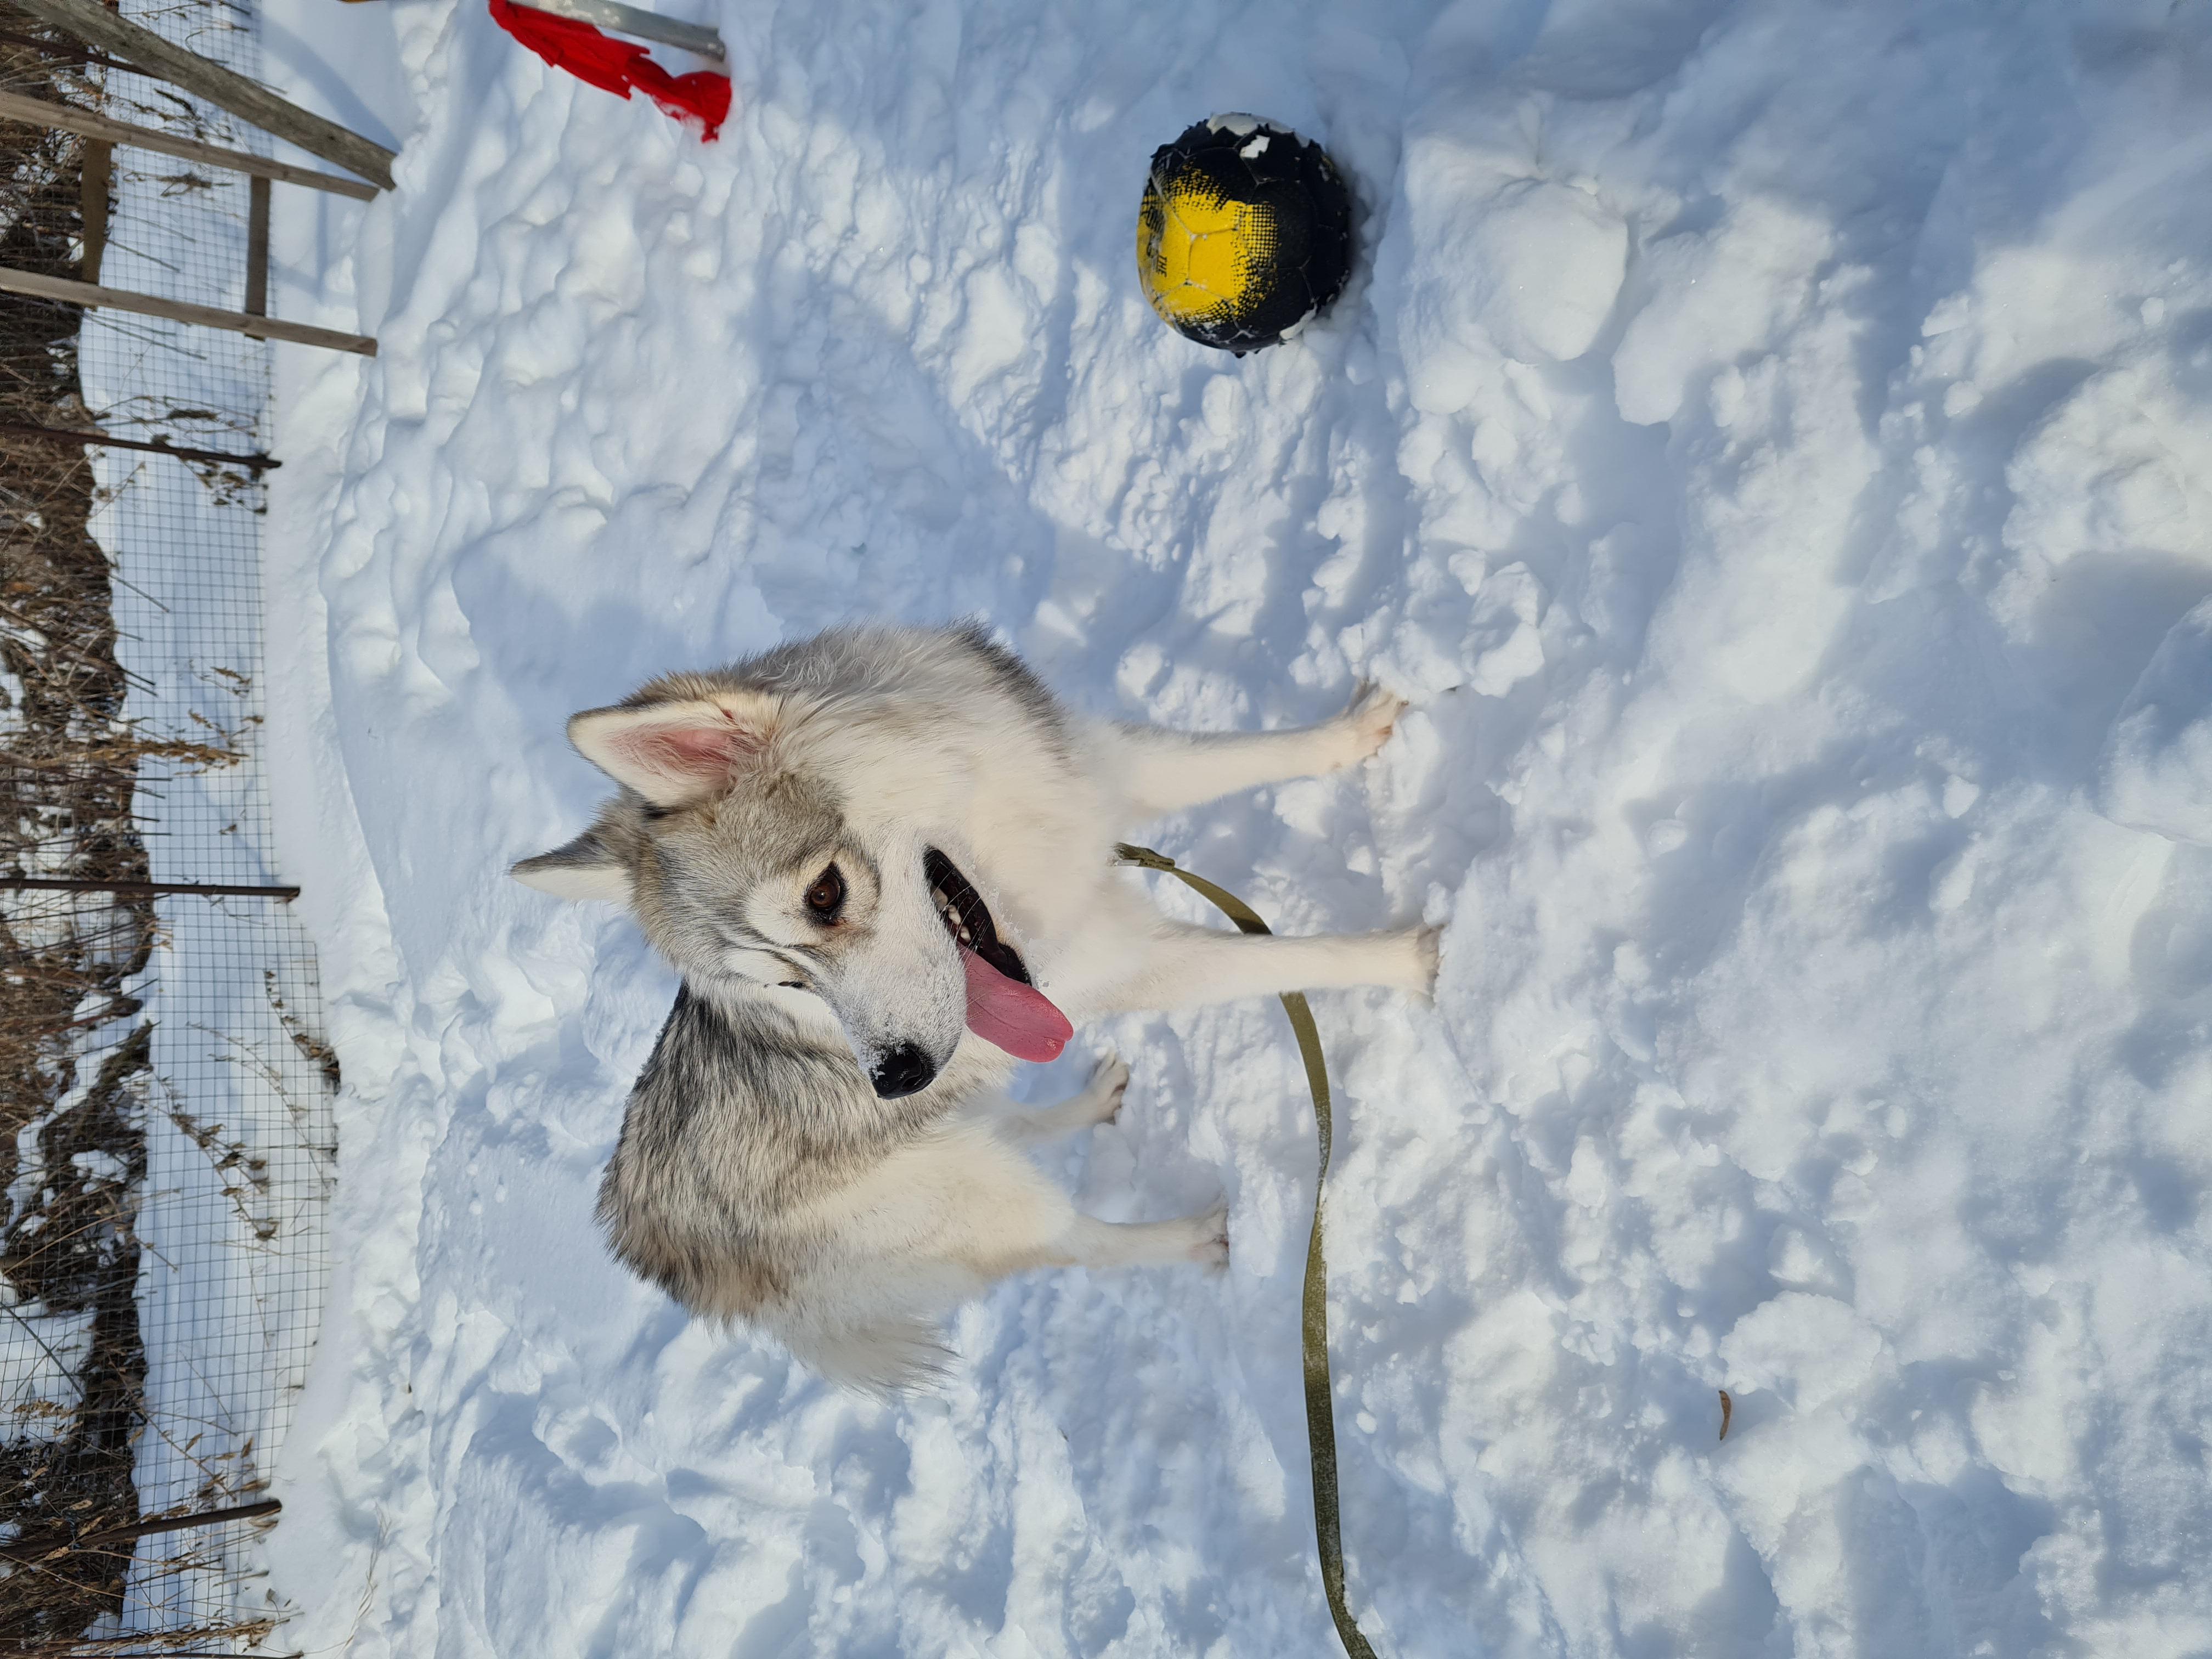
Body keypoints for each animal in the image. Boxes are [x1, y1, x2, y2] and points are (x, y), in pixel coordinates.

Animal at [515, 624, 1433, 1389]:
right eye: (790, 985)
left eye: (824, 896)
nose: (896, 1077)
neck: (1003, 848)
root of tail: (649, 1245)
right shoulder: (1134, 960)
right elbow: (1287, 960)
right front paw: (1415, 959)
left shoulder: (1098, 769)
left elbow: (1242, 757)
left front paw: (1354, 733)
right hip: (975, 1198)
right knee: (1078, 1243)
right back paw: (1196, 1235)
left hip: (958, 1129)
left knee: (1017, 1125)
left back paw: (1090, 1102)